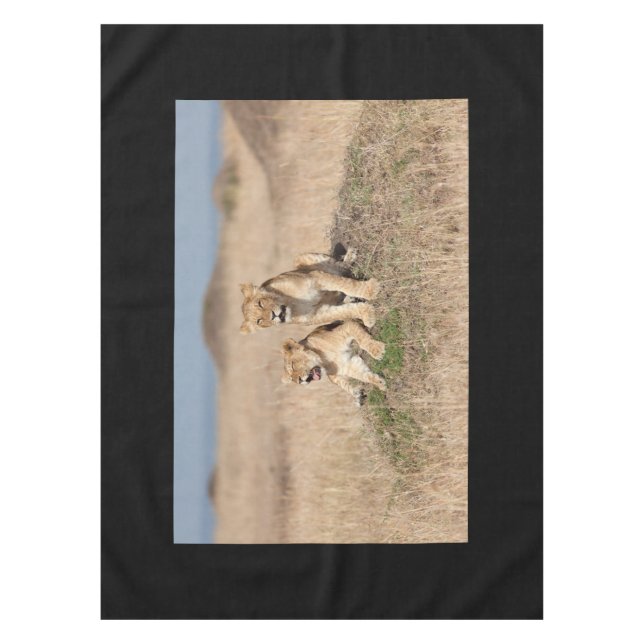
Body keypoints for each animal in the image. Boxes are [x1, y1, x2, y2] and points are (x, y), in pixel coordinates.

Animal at [239, 247, 379, 334]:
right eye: (259, 321)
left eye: (260, 304)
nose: (273, 315)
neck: (293, 305)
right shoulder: (319, 315)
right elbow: (345, 312)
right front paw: (368, 315)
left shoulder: (315, 277)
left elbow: (345, 283)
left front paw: (371, 290)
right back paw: (349, 298)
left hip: (300, 258)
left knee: (340, 266)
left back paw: (350, 256)